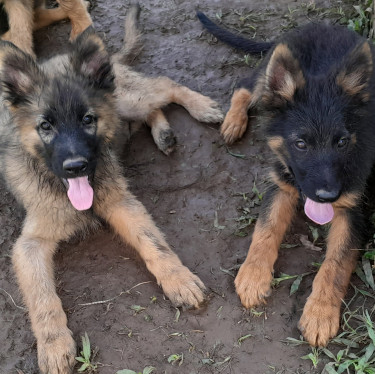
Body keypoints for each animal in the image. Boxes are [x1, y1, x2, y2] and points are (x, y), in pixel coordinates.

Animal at [198, 13, 375, 348]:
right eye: (300, 144)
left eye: (342, 142)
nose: (326, 196)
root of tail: (319, 25)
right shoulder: (281, 183)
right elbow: (265, 230)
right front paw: (253, 275)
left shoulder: (352, 210)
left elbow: (335, 264)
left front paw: (320, 312)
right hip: (267, 82)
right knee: (245, 87)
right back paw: (233, 121)